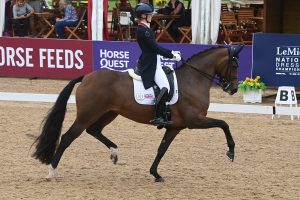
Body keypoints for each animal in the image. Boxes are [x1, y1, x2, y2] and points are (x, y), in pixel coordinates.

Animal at [32, 44, 244, 182]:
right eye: (234, 65)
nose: (233, 89)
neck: (193, 80)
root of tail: (86, 77)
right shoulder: (194, 121)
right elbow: (224, 124)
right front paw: (231, 152)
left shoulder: (175, 127)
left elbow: (162, 149)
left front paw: (155, 174)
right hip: (87, 115)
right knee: (68, 137)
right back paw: (51, 172)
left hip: (108, 113)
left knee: (94, 130)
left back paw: (114, 152)